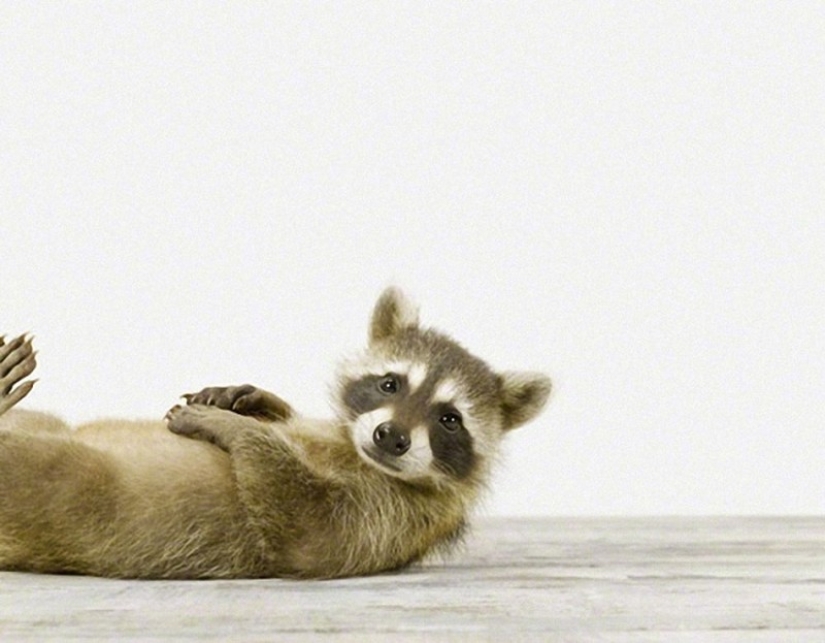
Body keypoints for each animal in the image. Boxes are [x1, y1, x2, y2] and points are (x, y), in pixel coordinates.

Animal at [0, 288, 551, 579]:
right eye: (390, 383)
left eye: (449, 419)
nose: (391, 437)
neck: (356, 449)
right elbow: (288, 420)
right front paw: (252, 400)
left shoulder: (392, 518)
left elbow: (306, 526)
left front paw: (236, 426)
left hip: (61, 490)